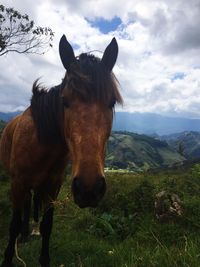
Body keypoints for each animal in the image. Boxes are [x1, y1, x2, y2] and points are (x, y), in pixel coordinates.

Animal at [0, 35, 122, 267]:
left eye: (111, 102)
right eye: (65, 101)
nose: (88, 189)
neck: (40, 143)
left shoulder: (53, 186)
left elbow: (47, 226)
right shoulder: (17, 183)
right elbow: (12, 224)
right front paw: (7, 259)